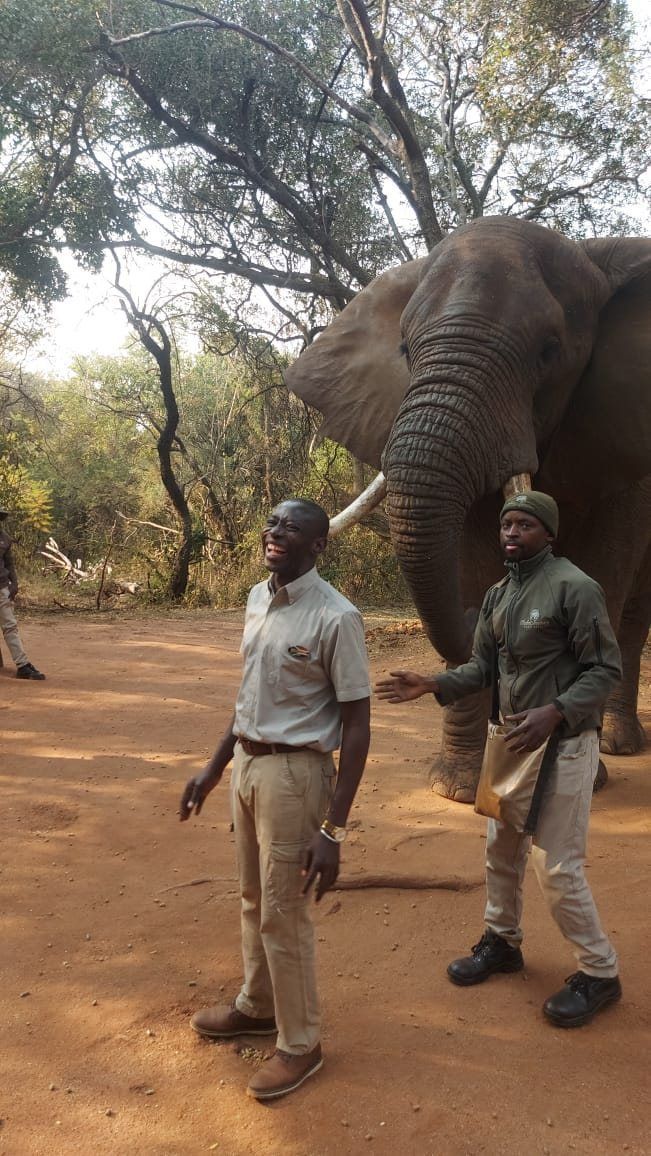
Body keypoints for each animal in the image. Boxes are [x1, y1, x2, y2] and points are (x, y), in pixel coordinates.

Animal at [284, 216, 651, 801]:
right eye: (405, 348)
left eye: (549, 351)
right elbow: (469, 559)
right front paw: (453, 788)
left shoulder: (614, 440)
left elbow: (603, 577)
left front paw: (583, 777)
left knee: (635, 616)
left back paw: (617, 744)